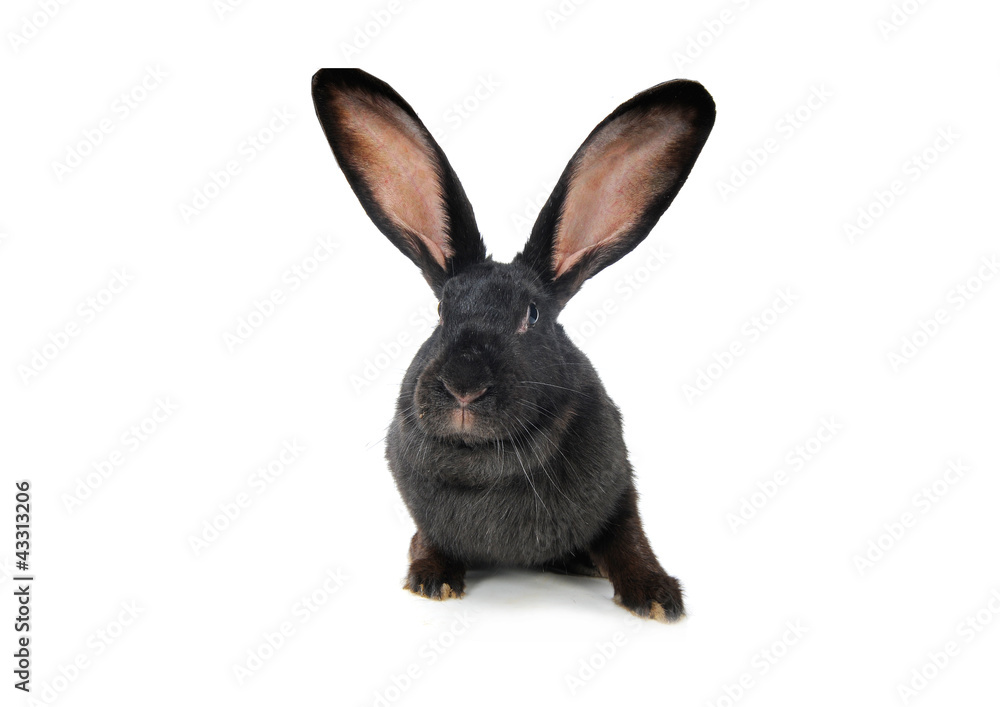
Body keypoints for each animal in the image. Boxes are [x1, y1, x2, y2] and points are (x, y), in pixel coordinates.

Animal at [312, 68, 714, 621]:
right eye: (442, 311)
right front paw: (431, 580)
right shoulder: (422, 516)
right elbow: (427, 540)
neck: (484, 460)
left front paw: (656, 597)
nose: (463, 386)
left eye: (532, 315)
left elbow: (627, 539)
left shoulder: (619, 489)